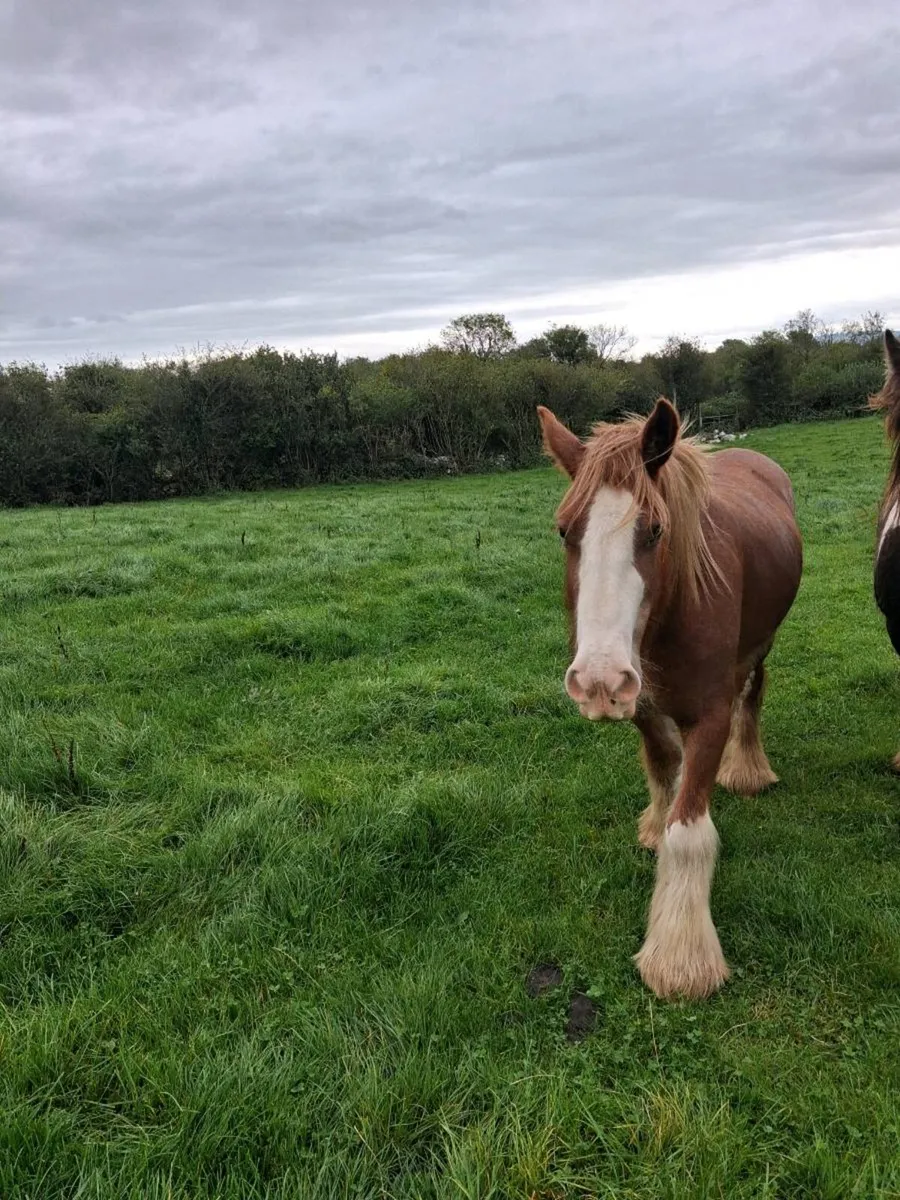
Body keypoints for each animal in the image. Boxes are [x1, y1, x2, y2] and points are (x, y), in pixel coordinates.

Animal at [538, 397, 803, 1000]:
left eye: (655, 530)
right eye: (565, 531)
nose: (598, 678)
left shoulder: (710, 716)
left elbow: (689, 831)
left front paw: (680, 957)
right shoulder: (641, 703)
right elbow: (663, 774)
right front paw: (655, 825)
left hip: (761, 646)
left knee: (754, 694)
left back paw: (748, 768)